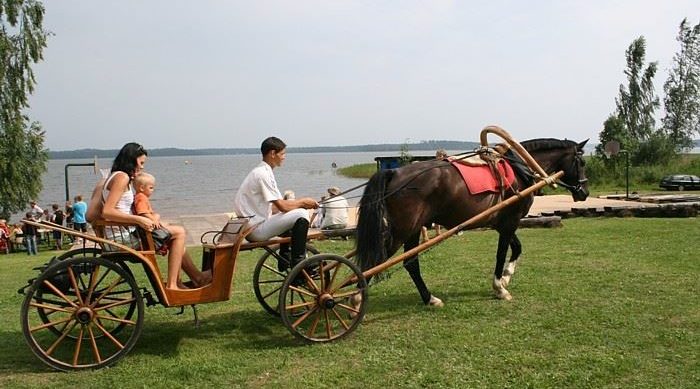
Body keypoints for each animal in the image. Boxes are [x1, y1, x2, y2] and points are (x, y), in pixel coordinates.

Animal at [356, 138, 592, 304]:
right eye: (581, 161)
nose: (585, 192)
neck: (519, 168)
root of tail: (394, 171)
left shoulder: (504, 223)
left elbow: (517, 248)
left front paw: (506, 277)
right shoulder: (510, 222)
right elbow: (501, 254)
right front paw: (499, 287)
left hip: (413, 230)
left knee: (410, 263)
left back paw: (429, 298)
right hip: (403, 230)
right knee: (376, 261)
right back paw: (356, 299)